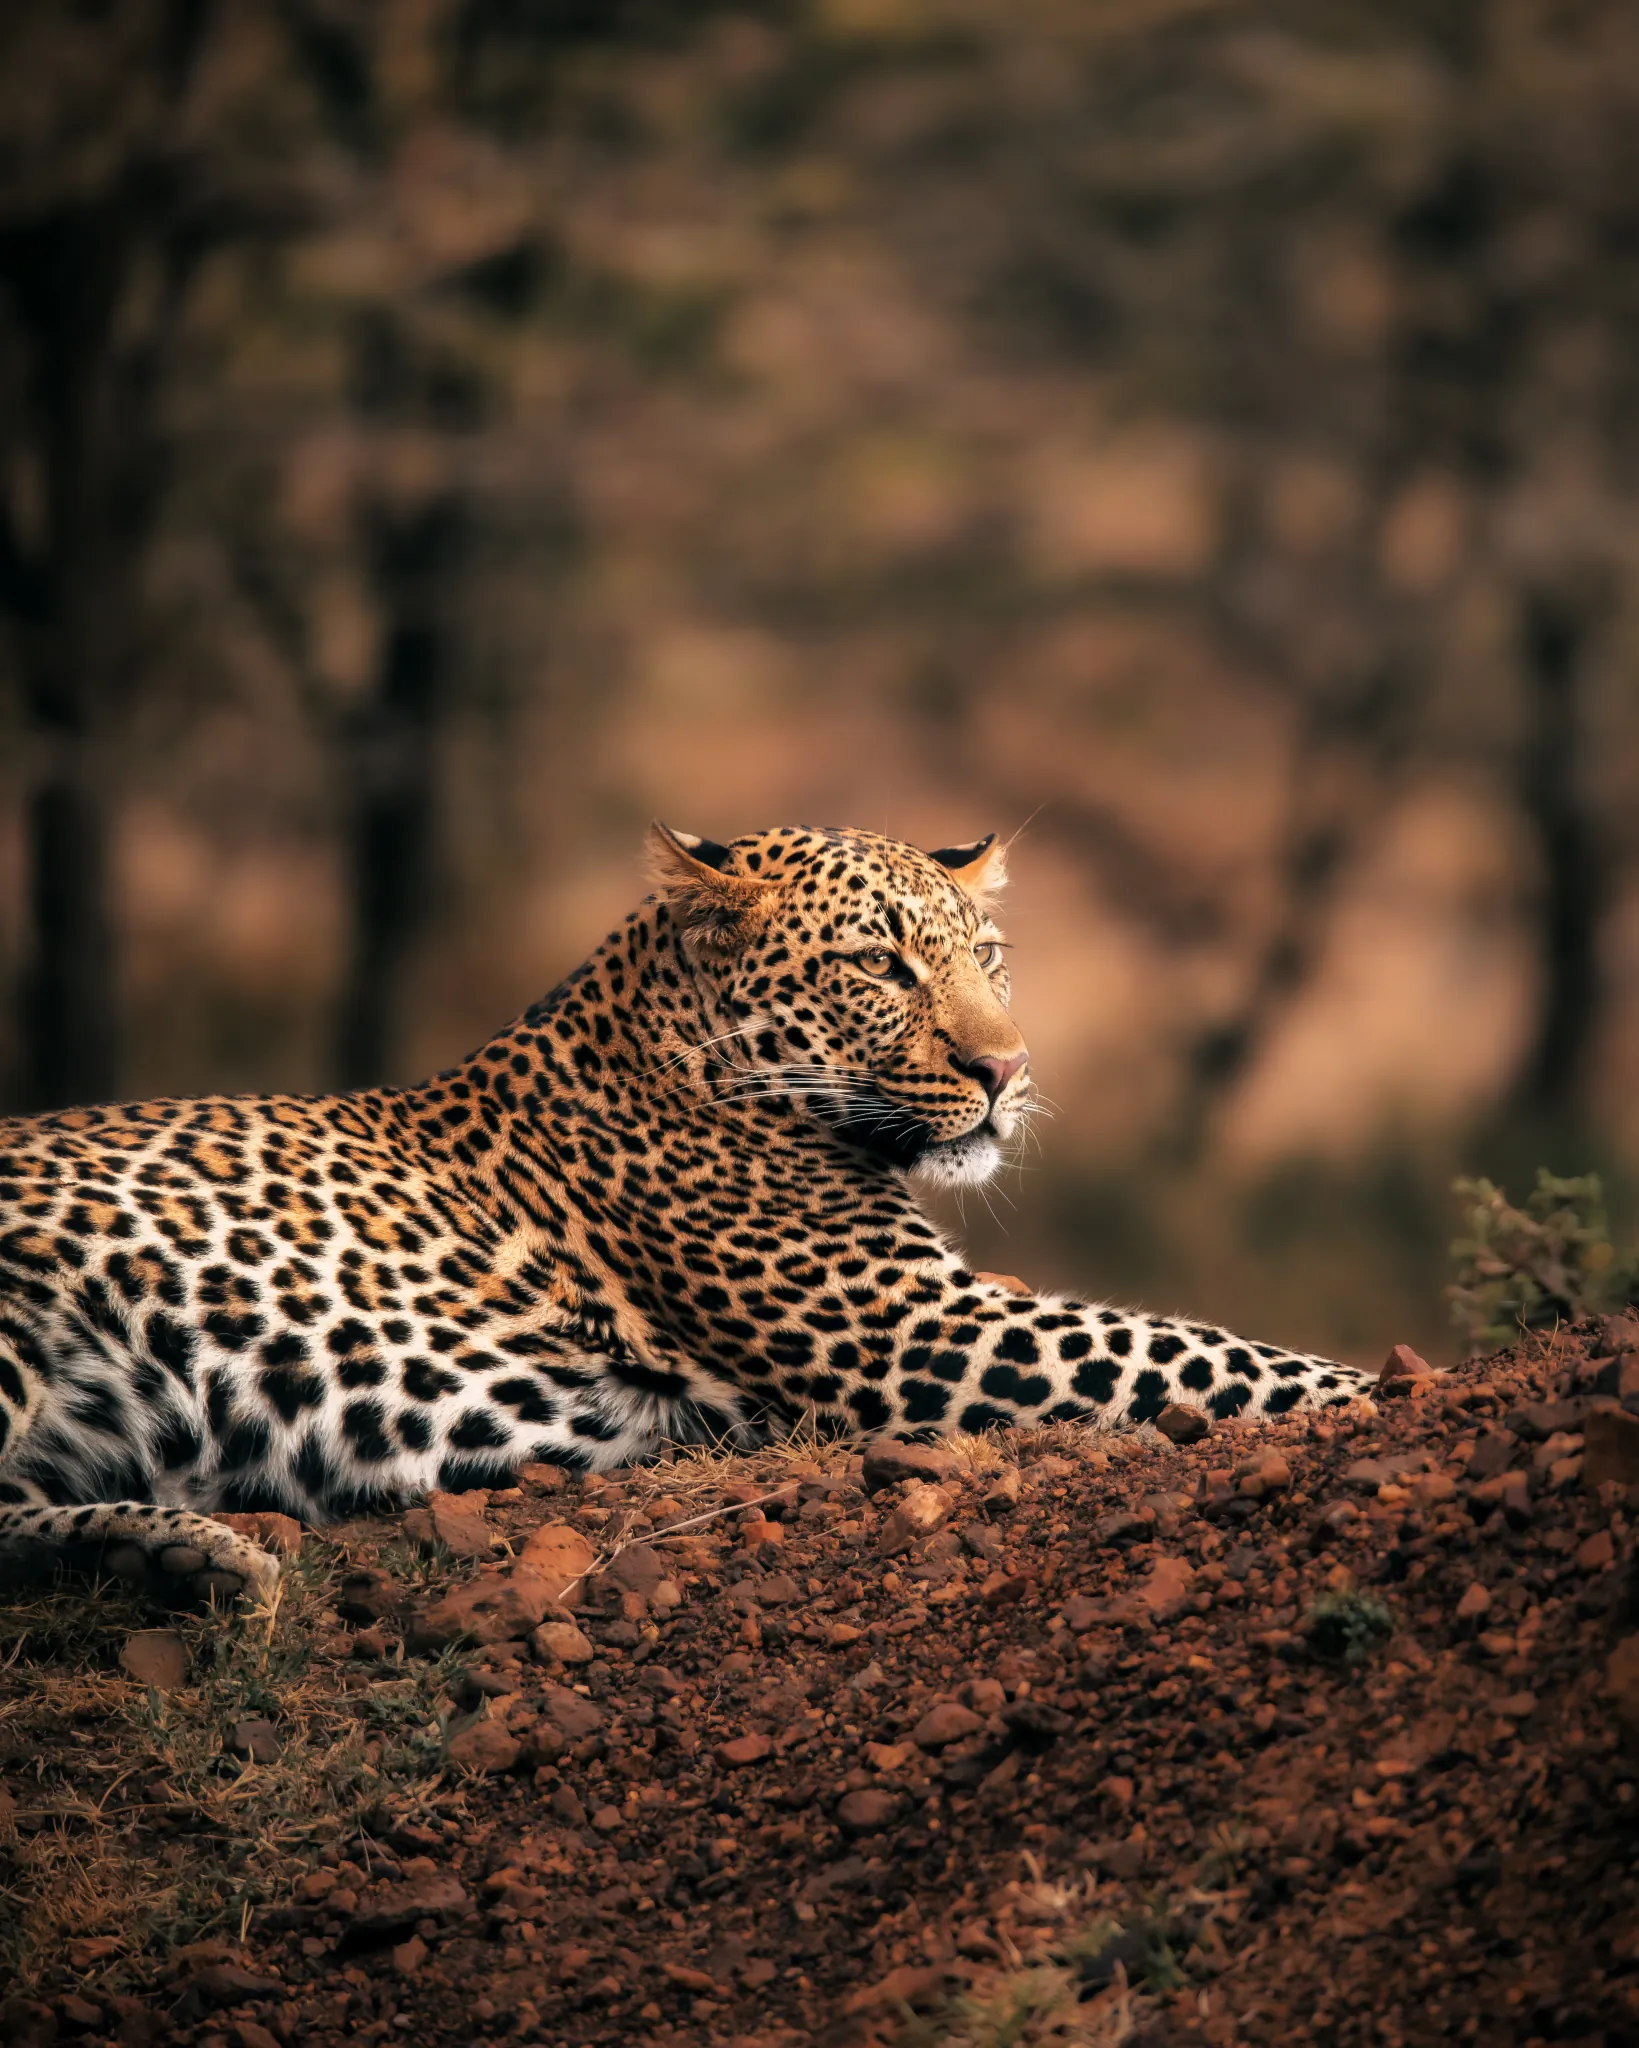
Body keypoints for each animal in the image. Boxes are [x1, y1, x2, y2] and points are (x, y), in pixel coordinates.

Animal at [0, 822, 1371, 1603]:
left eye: (989, 955)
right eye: (878, 965)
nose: (1007, 1068)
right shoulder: (921, 1332)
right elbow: (1202, 1353)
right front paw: (1378, 1386)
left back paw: (182, 1555)